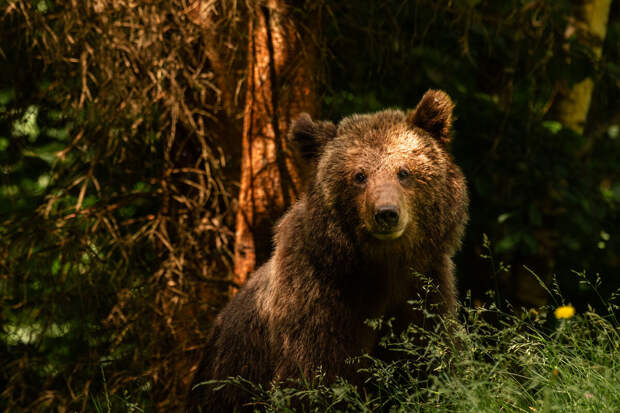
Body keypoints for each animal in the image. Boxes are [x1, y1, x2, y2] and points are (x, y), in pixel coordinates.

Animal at [189, 88, 470, 410]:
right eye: (359, 176)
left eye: (404, 172)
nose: (386, 213)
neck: (382, 267)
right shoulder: (317, 301)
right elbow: (315, 379)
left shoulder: (425, 287)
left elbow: (431, 362)